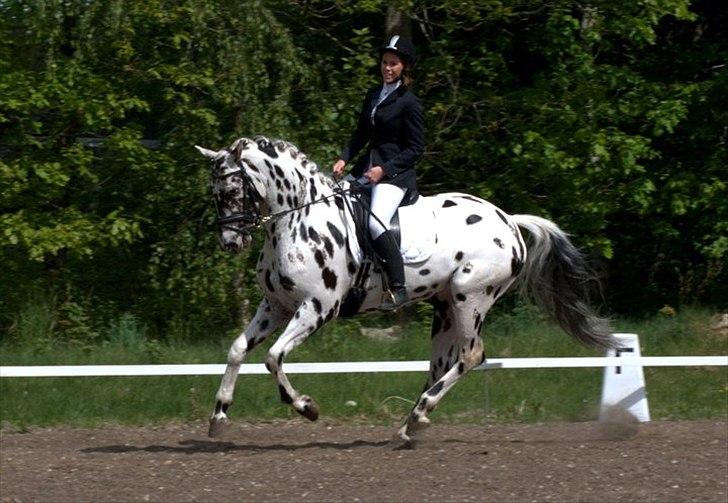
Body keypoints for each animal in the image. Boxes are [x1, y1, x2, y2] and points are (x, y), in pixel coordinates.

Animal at [195, 135, 616, 444]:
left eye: (232, 189)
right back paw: (410, 424)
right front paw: (219, 417)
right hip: (445, 306)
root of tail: (510, 221)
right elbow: (237, 350)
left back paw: (417, 416)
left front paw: (306, 407)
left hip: (471, 297)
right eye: (215, 192)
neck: (297, 218)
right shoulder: (275, 305)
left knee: (472, 355)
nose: (230, 243)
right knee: (443, 363)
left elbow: (272, 357)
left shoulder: (317, 307)